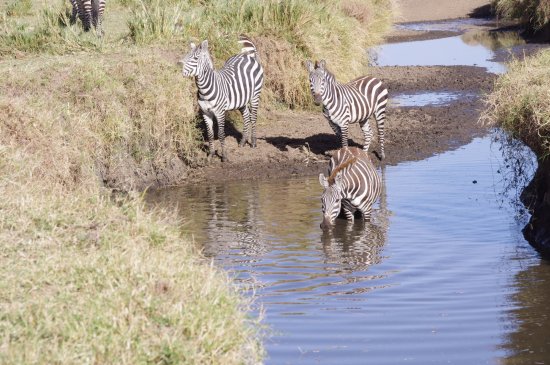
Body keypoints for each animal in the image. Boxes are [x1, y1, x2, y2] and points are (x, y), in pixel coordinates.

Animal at [179, 34, 266, 162]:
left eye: (195, 58)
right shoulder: (205, 113)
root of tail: (245, 55)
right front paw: (210, 154)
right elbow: (210, 134)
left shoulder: (220, 112)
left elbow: (220, 134)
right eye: (186, 56)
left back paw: (253, 143)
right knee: (246, 115)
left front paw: (224, 156)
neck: (205, 90)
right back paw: (243, 141)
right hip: (241, 99)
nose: (180, 69)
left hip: (255, 95)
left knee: (253, 117)